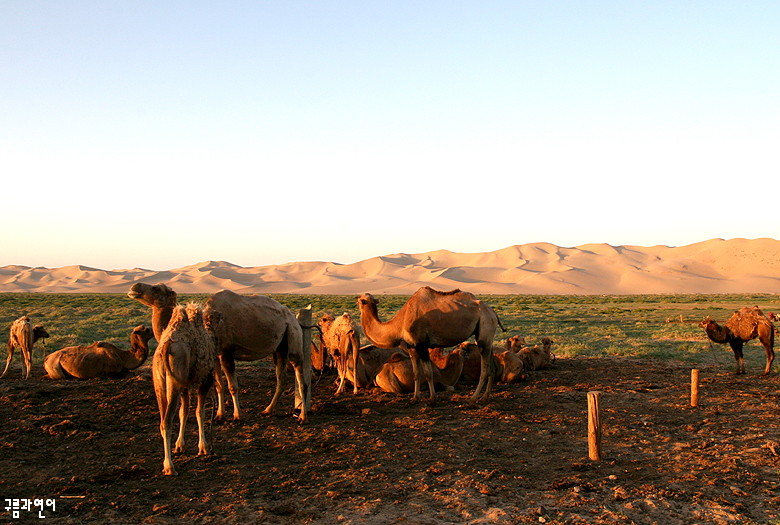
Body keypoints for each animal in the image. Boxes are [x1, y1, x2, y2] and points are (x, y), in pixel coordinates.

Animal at [152, 300, 216, 476]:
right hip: (174, 383)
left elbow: (184, 412)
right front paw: (204, 447)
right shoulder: (204, 380)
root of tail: (165, 347)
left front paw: (180, 445)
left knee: (162, 421)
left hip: (160, 383)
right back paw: (169, 467)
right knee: (167, 422)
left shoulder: (185, 385)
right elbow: (200, 412)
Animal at [356, 284, 502, 404]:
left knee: (485, 369)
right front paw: (415, 398)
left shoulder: (422, 344)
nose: (357, 296)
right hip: (485, 336)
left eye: (360, 300)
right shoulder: (412, 346)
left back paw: (473, 398)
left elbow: (428, 373)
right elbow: (416, 373)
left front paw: (432, 398)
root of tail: (493, 313)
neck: (400, 323)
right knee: (491, 367)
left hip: (485, 328)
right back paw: (485, 397)